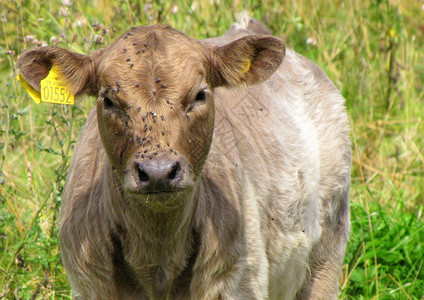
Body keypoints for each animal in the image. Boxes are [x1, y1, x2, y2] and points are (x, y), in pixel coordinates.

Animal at [18, 17, 352, 300]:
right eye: (109, 100)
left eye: (200, 95)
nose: (157, 172)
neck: (157, 257)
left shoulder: (240, 281)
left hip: (328, 248)